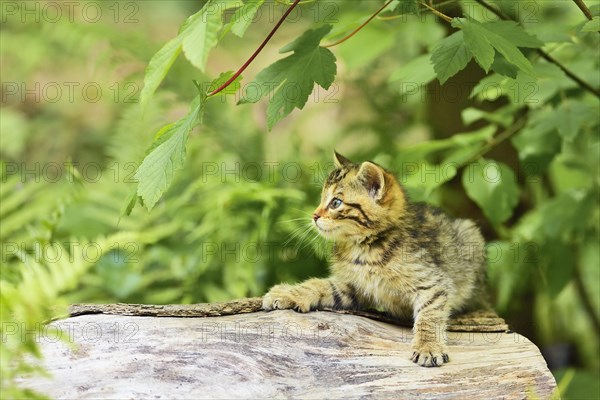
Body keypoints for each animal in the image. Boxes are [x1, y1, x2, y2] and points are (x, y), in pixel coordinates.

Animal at [262, 153, 488, 368]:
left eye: (335, 203)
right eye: (321, 199)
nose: (314, 216)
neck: (364, 249)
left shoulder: (433, 283)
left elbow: (430, 314)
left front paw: (428, 346)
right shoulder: (354, 287)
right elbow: (320, 285)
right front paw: (288, 293)